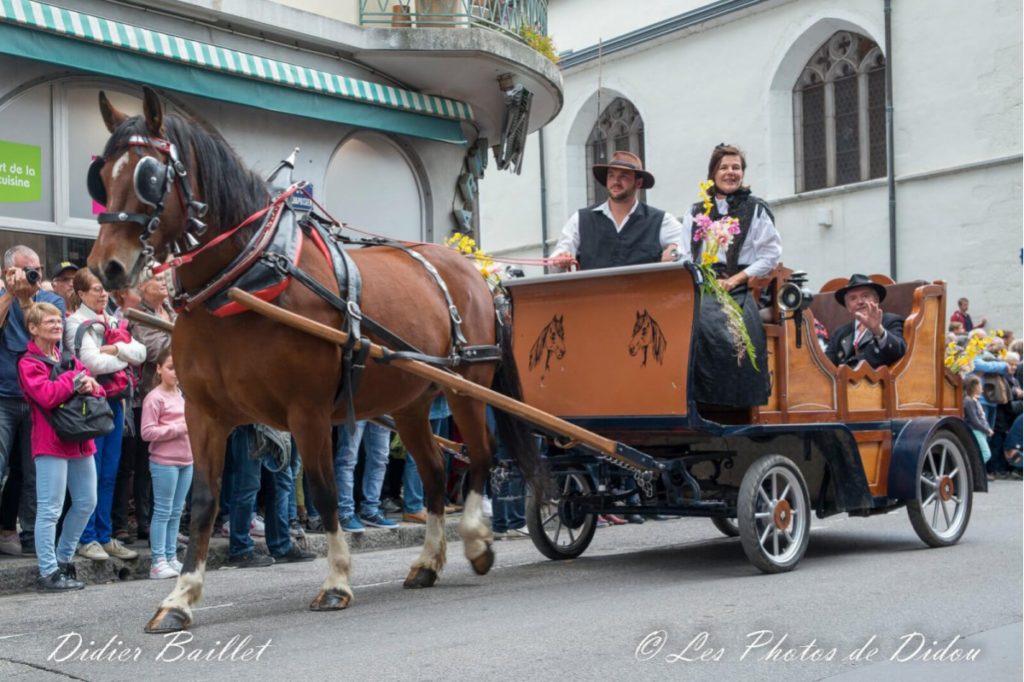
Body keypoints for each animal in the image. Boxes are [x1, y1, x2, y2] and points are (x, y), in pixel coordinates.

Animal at [88, 86, 544, 630]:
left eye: (149, 175)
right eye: (100, 175)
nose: (106, 267)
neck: (246, 279)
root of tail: (474, 272)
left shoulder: (306, 412)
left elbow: (326, 492)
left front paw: (336, 581)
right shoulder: (204, 415)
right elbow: (202, 502)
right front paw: (180, 598)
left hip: (464, 385)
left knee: (480, 455)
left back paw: (475, 541)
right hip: (412, 402)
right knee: (435, 475)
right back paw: (428, 562)